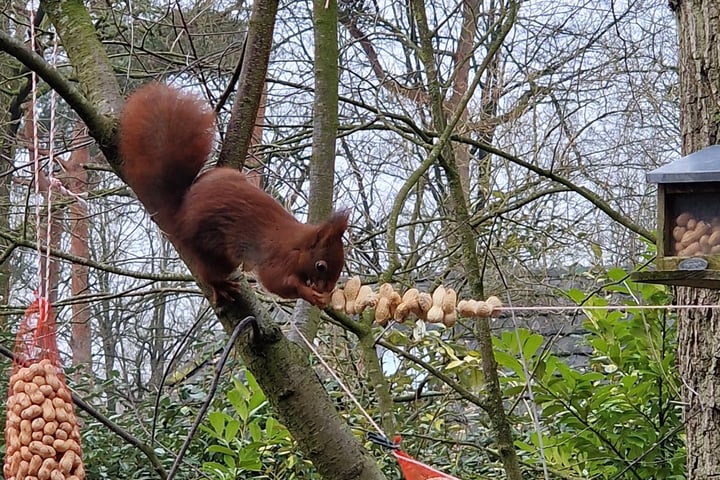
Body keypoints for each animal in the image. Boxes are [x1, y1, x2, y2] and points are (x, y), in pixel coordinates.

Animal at [118, 84, 348, 306]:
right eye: (320, 266)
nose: (328, 289)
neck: (297, 245)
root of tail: (179, 213)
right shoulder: (277, 261)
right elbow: (278, 283)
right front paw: (310, 294)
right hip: (208, 249)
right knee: (209, 273)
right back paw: (220, 286)